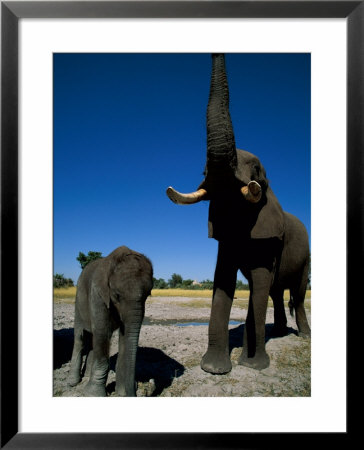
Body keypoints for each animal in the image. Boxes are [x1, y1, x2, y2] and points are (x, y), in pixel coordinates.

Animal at [67, 246, 153, 398]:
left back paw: (87, 376)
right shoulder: (97, 294)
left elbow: (125, 336)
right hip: (79, 301)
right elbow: (102, 333)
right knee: (80, 337)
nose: (137, 390)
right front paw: (92, 394)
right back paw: (73, 383)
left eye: (148, 295)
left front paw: (121, 393)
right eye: (117, 295)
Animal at [166, 54, 312, 374]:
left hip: (307, 255)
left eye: (256, 171)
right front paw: (213, 369)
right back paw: (278, 332)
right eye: (203, 172)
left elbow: (258, 281)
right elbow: (223, 279)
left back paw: (303, 336)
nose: (214, 53)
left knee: (295, 292)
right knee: (276, 291)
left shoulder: (271, 237)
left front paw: (254, 366)